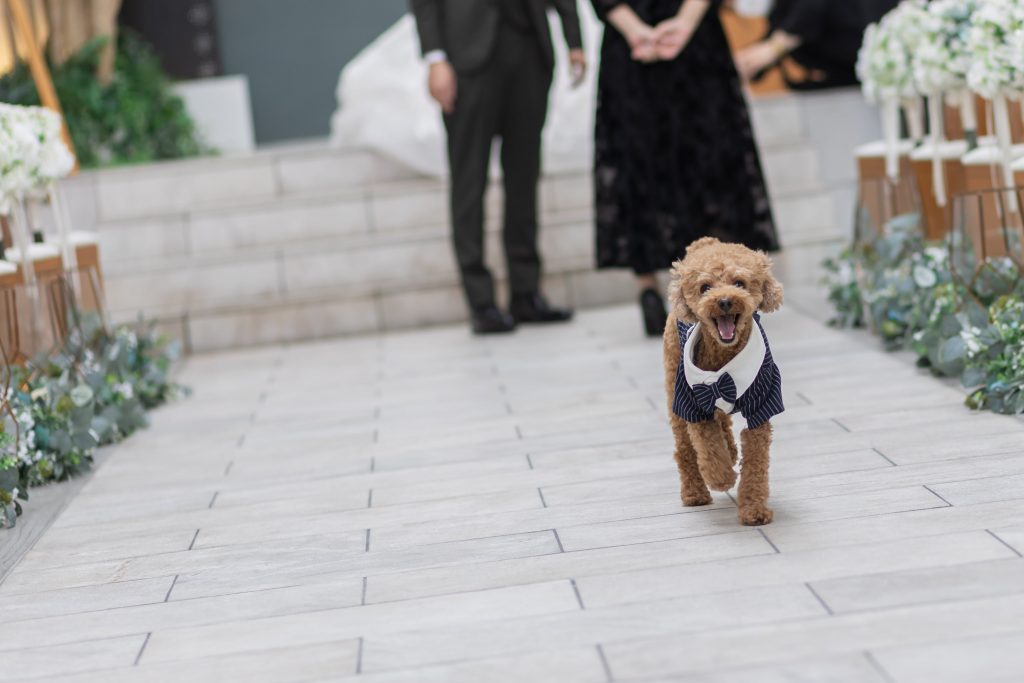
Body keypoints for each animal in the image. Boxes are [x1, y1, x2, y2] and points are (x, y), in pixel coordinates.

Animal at [663, 237, 784, 526]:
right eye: (705, 287)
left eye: (739, 283)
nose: (725, 301)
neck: (723, 359)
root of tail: (705, 242)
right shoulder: (693, 405)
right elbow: (708, 447)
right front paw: (722, 477)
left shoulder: (762, 404)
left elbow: (755, 462)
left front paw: (754, 510)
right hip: (674, 389)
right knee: (685, 448)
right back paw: (694, 493)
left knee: (723, 421)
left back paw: (730, 450)